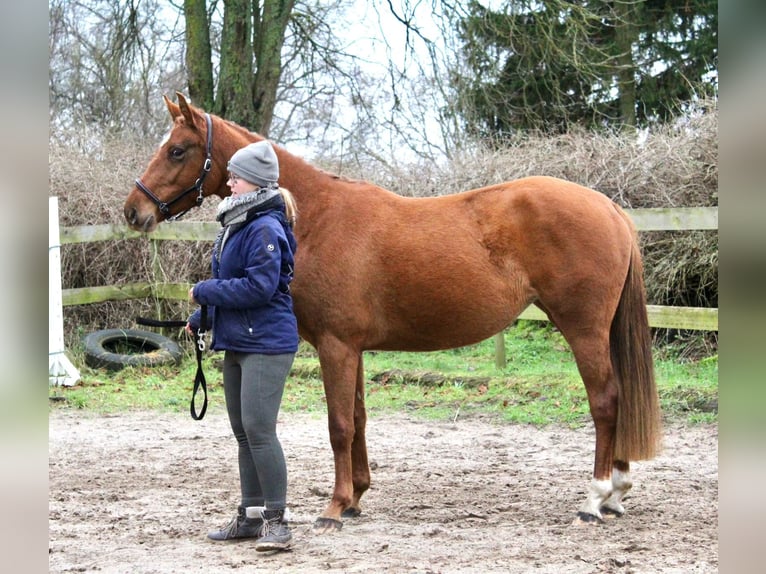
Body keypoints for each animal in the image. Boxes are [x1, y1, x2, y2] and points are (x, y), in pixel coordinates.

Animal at [124, 93, 660, 532]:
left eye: (177, 150)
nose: (133, 212)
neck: (314, 217)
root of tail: (609, 207)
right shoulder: (354, 348)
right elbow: (359, 418)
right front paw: (356, 498)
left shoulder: (336, 346)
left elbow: (339, 425)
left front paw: (334, 508)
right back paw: (617, 493)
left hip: (584, 329)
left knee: (606, 401)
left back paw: (595, 498)